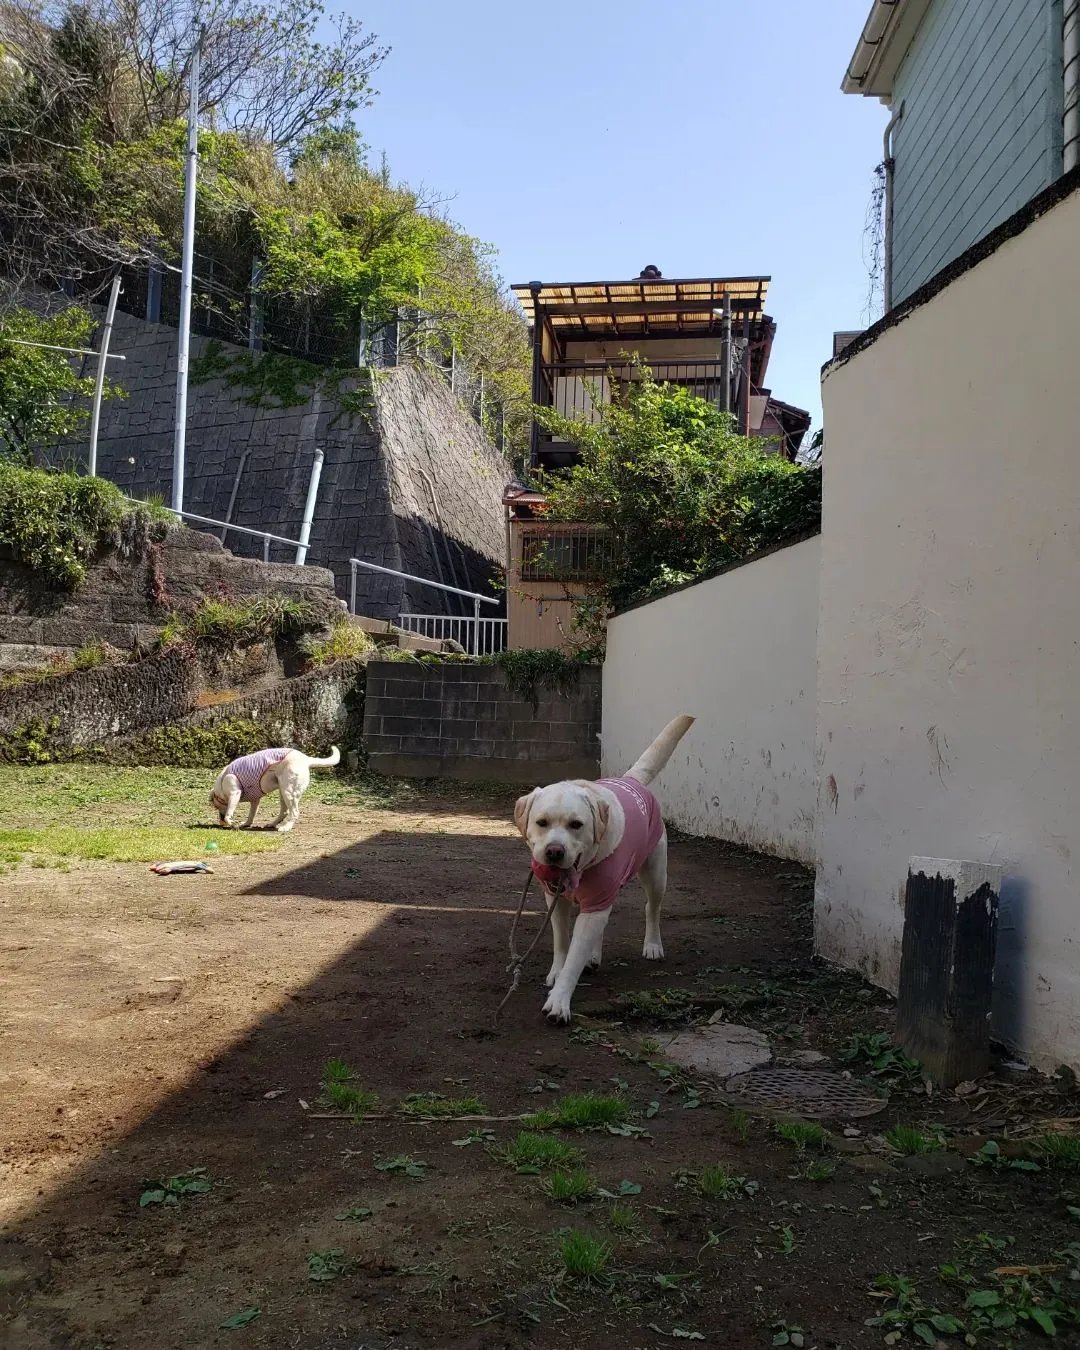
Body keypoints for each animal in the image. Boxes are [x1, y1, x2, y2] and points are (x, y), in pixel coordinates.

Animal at [209, 750, 340, 831]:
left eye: (216, 806)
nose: (220, 820)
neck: (221, 786)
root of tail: (306, 759)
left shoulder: (234, 794)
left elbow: (229, 814)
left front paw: (232, 824)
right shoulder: (255, 800)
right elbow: (251, 814)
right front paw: (246, 824)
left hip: (288, 792)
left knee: (294, 812)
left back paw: (286, 827)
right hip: (282, 791)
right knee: (284, 812)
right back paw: (272, 824)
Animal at [513, 718, 691, 1020]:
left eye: (576, 824)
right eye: (541, 822)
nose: (554, 852)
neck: (584, 868)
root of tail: (631, 779)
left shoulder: (596, 902)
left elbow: (575, 956)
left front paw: (559, 1000)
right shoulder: (556, 901)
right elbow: (562, 942)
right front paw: (557, 971)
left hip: (656, 874)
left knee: (651, 909)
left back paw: (652, 945)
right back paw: (594, 956)